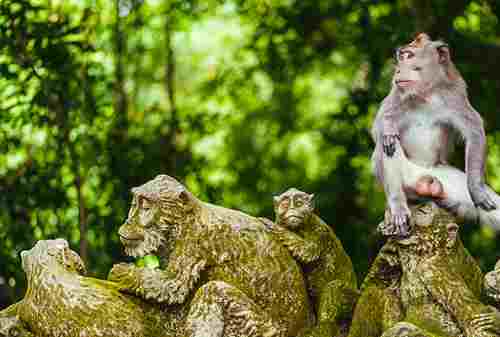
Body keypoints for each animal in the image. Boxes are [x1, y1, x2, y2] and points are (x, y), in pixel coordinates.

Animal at [372, 32, 500, 235]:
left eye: (409, 55)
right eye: (401, 57)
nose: (398, 70)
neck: (426, 94)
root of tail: (424, 174)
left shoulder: (455, 94)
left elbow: (474, 132)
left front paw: (477, 190)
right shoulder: (396, 92)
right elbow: (379, 129)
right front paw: (389, 125)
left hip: (447, 181)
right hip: (404, 179)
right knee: (387, 147)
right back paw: (398, 207)